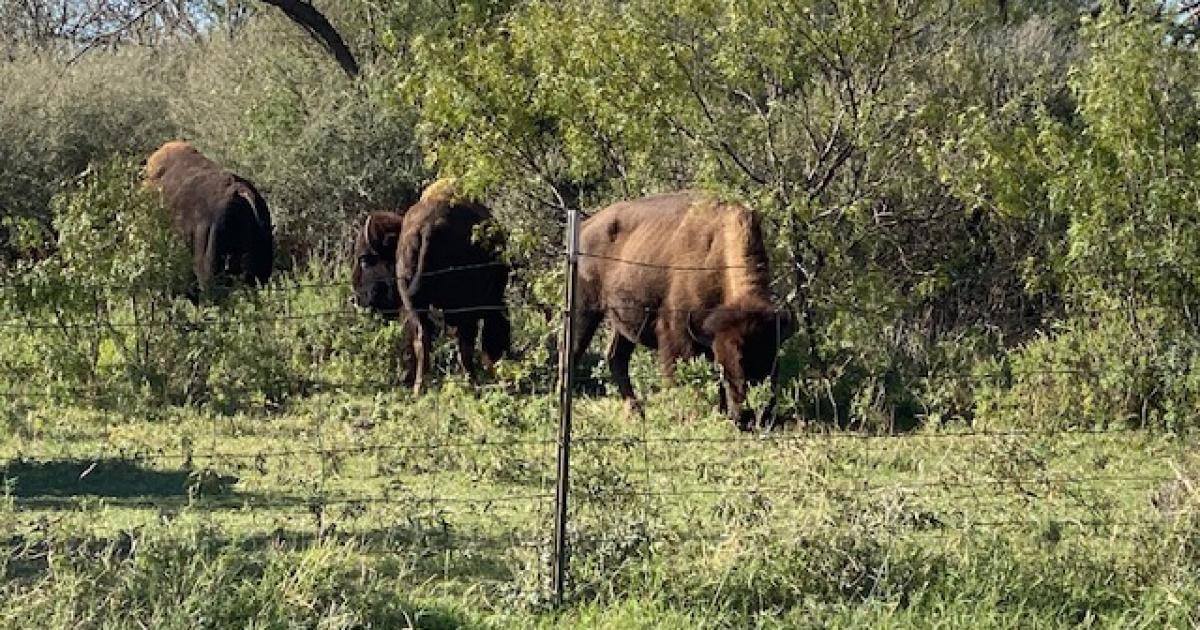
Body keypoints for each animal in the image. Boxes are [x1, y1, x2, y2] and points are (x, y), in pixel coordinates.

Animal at [571, 191, 793, 430]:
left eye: (773, 361)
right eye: (724, 367)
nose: (749, 418)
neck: (717, 250)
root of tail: (586, 226)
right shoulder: (676, 331)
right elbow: (680, 374)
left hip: (623, 322)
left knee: (616, 357)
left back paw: (636, 413)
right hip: (584, 310)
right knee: (573, 352)